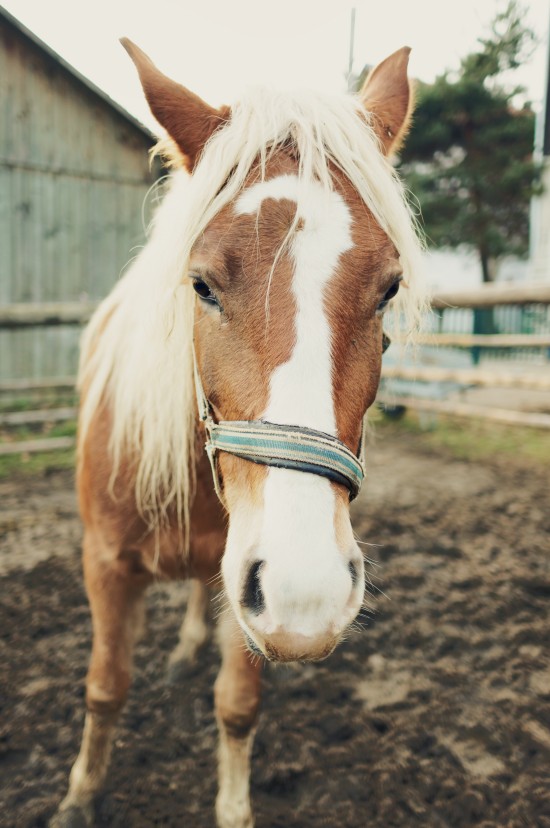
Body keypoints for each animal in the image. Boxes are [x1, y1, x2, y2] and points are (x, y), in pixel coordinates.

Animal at [51, 40, 426, 828]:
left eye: (389, 289)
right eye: (201, 284)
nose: (307, 590)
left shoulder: (251, 591)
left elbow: (236, 707)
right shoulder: (105, 565)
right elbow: (106, 686)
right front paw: (78, 795)